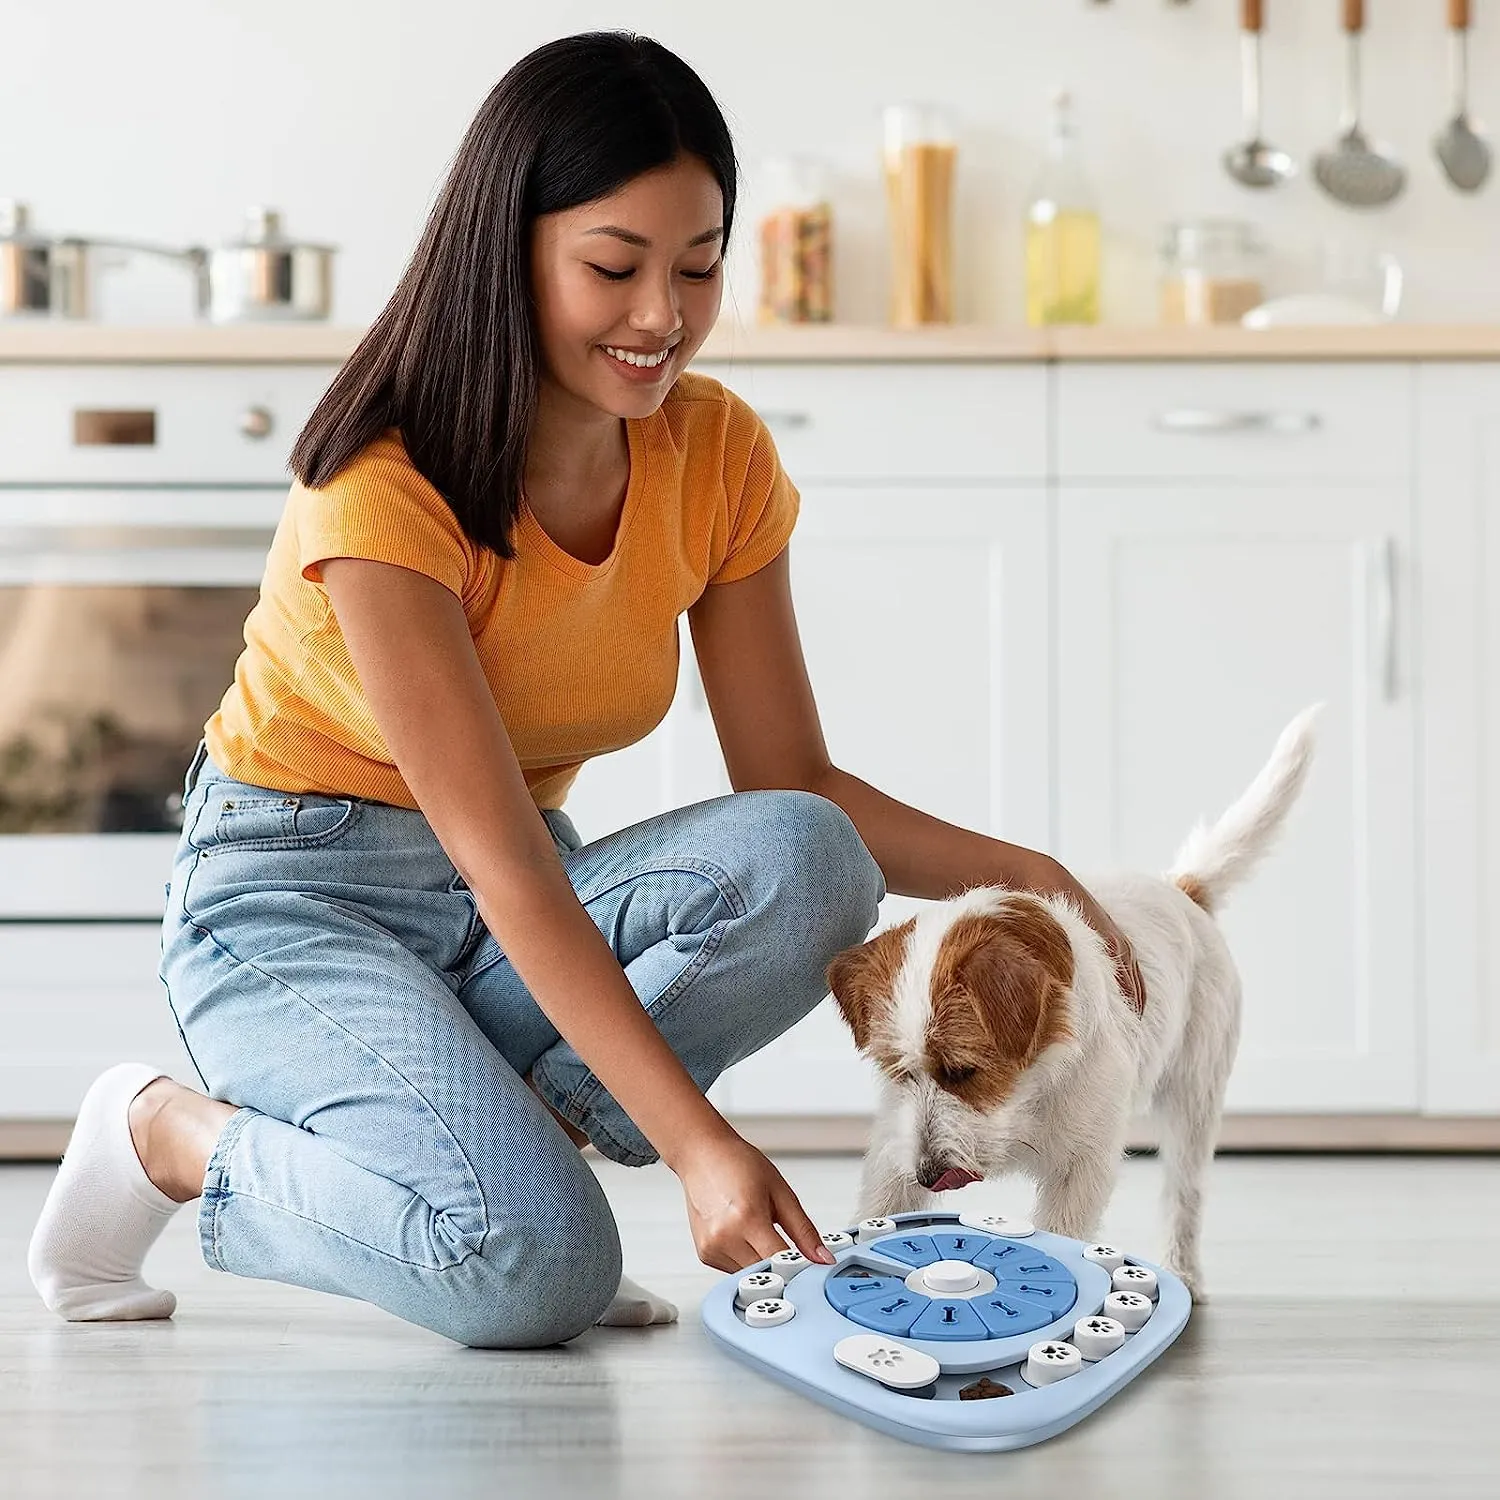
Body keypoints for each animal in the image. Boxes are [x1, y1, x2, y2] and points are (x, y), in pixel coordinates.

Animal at [828, 708, 1320, 1296]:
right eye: (898, 1073)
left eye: (963, 1072)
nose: (927, 1173)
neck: (1028, 1091)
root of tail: (1181, 889)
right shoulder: (893, 1147)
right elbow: (880, 1206)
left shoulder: (1081, 1168)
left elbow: (1062, 1234)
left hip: (1195, 1101)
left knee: (1185, 1191)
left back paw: (1183, 1271)